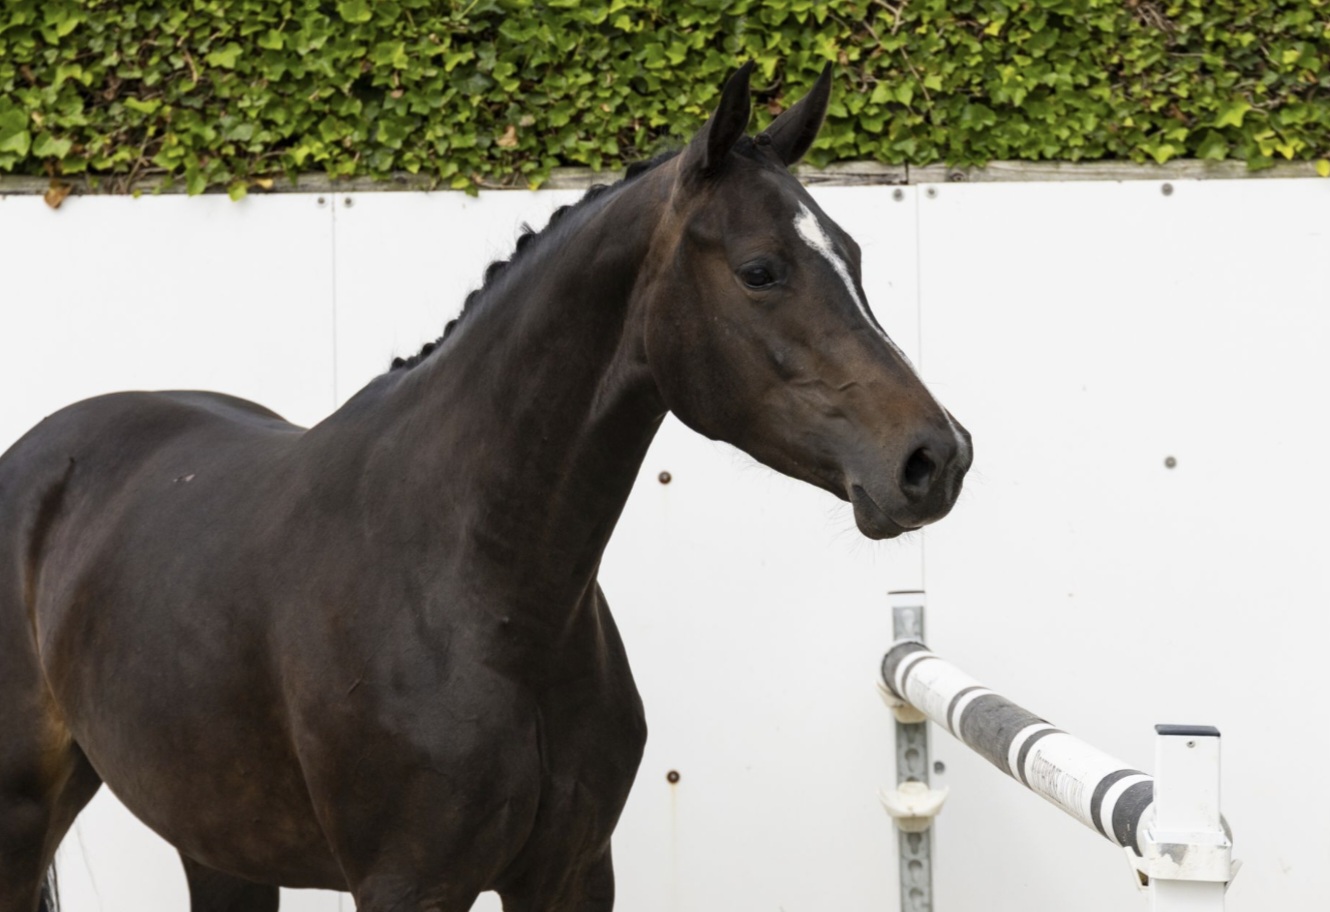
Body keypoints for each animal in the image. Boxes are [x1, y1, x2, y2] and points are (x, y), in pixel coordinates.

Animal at [0, 63, 970, 912]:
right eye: (761, 269)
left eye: (852, 256)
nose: (936, 458)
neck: (481, 595)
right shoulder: (410, 887)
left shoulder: (572, 874)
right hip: (25, 819)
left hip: (218, 841)